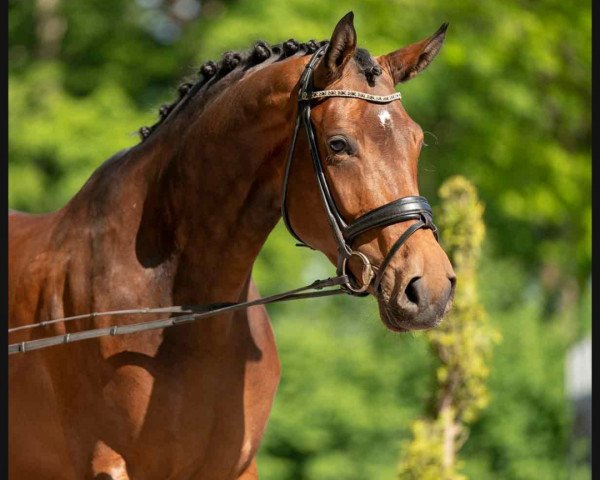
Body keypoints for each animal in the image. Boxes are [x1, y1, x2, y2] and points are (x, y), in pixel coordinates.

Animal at [7, 12, 454, 480]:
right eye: (338, 143)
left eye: (417, 141)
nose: (429, 288)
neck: (181, 314)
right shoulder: (108, 466)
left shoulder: (236, 466)